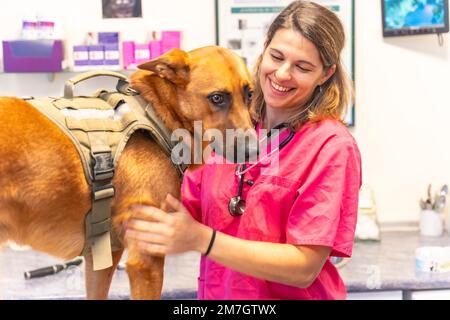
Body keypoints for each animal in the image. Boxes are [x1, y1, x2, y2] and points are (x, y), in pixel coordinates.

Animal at [0, 47, 256, 300]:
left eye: (250, 94)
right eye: (217, 97)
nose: (255, 149)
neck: (156, 113)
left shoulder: (101, 256)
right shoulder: (145, 261)